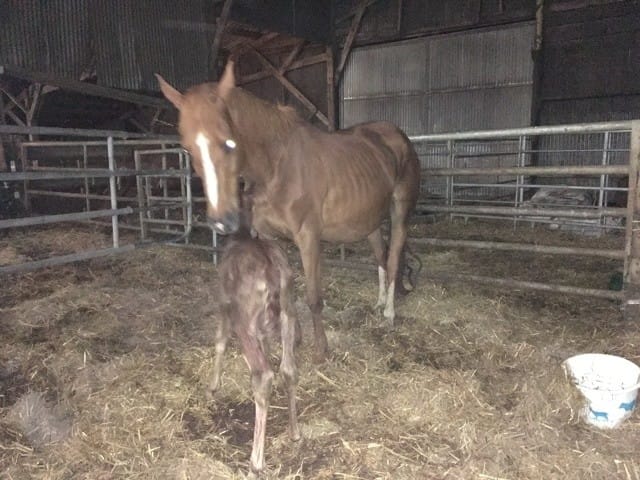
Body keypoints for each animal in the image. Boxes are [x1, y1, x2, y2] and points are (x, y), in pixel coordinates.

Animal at [156, 60, 420, 361]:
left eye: (229, 142)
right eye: (188, 149)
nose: (222, 222)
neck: (276, 167)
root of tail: (397, 136)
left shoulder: (308, 237)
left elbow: (314, 297)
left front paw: (321, 350)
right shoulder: (271, 238)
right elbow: (285, 293)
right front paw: (295, 340)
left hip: (400, 212)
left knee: (394, 257)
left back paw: (388, 313)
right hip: (369, 220)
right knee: (381, 256)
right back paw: (379, 302)